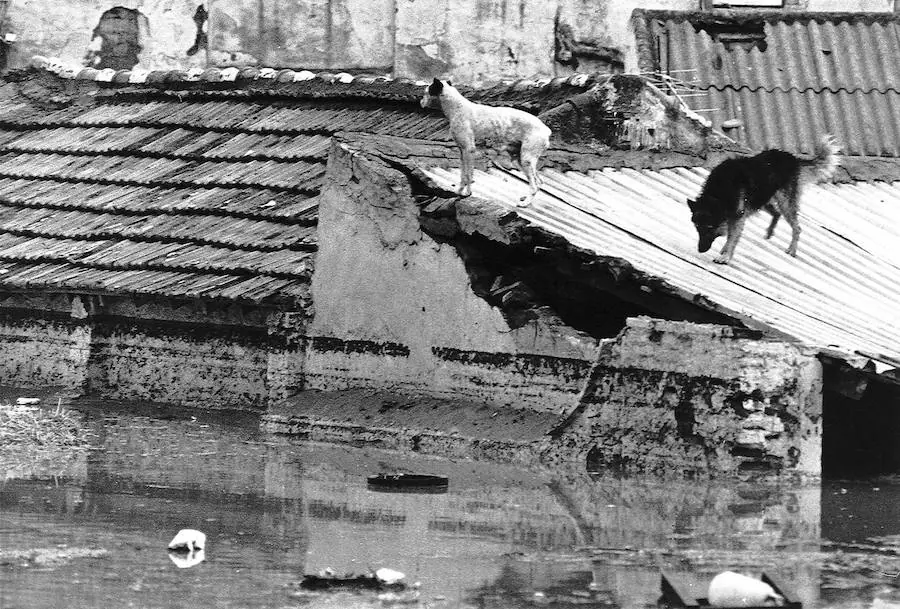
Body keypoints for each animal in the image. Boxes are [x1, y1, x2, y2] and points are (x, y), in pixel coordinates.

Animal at [688, 135, 844, 264]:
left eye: (709, 227)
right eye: (697, 227)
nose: (700, 250)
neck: (718, 193)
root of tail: (792, 158)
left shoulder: (737, 216)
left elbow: (732, 238)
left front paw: (725, 257)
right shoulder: (735, 216)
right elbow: (730, 236)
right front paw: (725, 252)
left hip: (784, 203)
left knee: (797, 227)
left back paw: (792, 250)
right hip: (764, 199)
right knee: (777, 213)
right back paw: (770, 232)